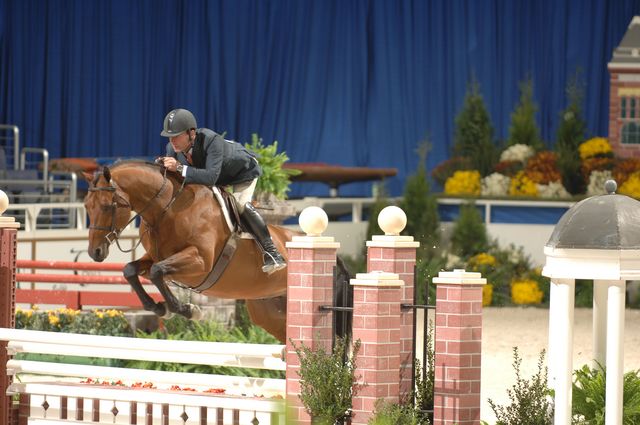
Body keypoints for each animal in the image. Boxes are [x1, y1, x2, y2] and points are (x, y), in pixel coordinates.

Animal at [83, 159, 352, 342]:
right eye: (86, 206)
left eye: (107, 206)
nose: (95, 252)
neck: (168, 208)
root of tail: (337, 259)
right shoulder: (155, 256)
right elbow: (131, 270)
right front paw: (160, 308)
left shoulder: (200, 263)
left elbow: (158, 272)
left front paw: (189, 310)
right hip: (270, 312)